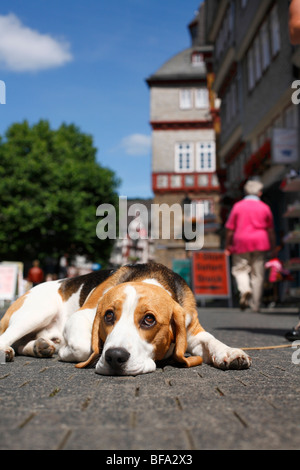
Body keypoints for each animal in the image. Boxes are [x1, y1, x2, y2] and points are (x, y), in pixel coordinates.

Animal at [0, 262, 251, 376]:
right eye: (109, 316)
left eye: (149, 320)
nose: (115, 357)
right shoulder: (81, 316)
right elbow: (83, 347)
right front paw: (67, 353)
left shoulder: (193, 330)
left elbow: (211, 340)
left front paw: (230, 353)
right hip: (38, 311)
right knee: (7, 337)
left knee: (21, 343)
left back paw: (39, 347)